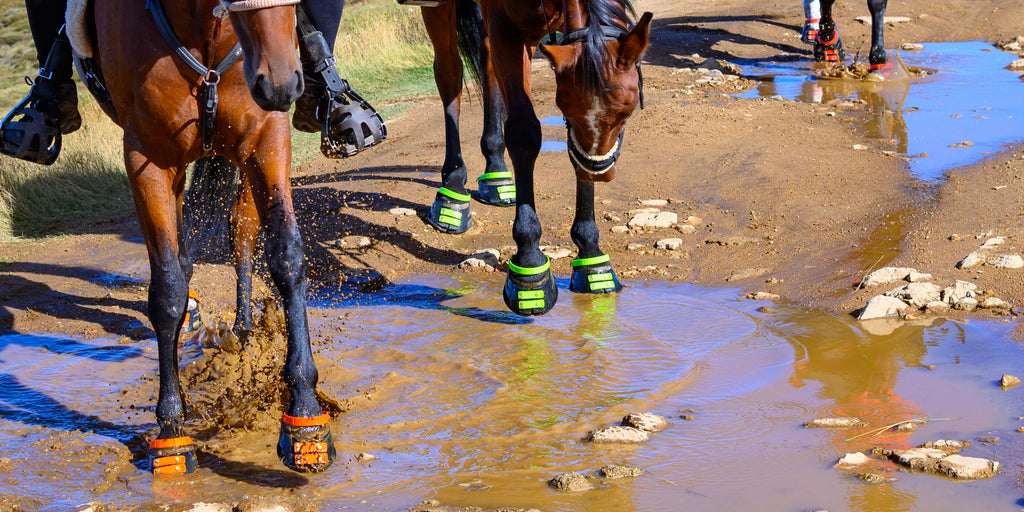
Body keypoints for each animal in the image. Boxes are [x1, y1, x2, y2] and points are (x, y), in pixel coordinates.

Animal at [78, 0, 339, 475]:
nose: (280, 81)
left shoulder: (266, 137)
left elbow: (286, 256)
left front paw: (305, 417)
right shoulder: (147, 159)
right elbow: (167, 288)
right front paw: (171, 429)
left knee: (242, 232)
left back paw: (244, 326)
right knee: (184, 259)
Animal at [419, 0, 651, 315]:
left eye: (626, 110)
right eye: (566, 109)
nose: (597, 172)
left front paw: (590, 255)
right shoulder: (508, 28)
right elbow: (524, 133)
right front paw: (530, 263)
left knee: (487, 63)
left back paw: (496, 173)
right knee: (449, 74)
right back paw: (452, 189)